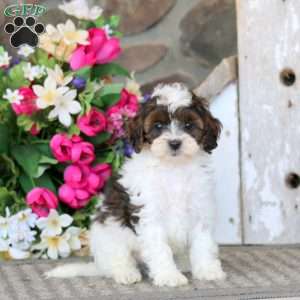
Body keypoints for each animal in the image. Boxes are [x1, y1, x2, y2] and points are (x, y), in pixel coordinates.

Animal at [46, 83, 225, 288]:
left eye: (188, 125)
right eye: (158, 126)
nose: (174, 143)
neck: (173, 167)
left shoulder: (201, 210)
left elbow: (203, 244)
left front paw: (208, 270)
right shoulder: (149, 214)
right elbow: (160, 248)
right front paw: (168, 275)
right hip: (109, 232)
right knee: (117, 259)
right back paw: (126, 272)